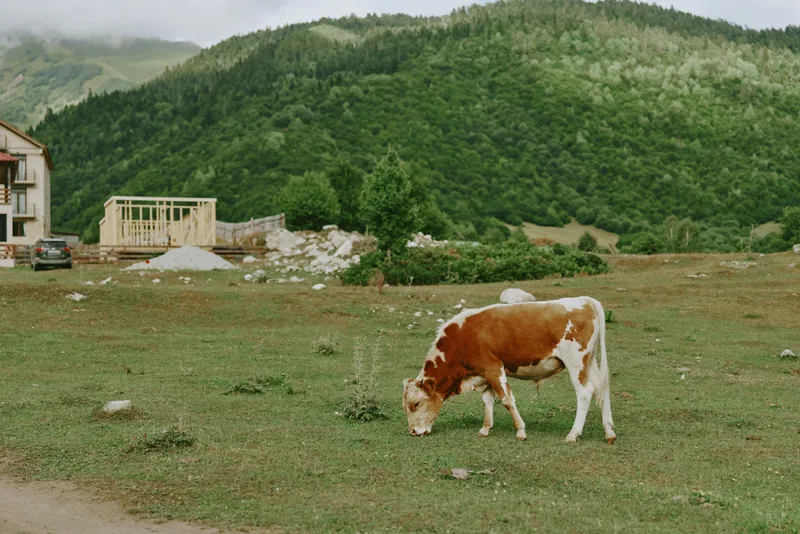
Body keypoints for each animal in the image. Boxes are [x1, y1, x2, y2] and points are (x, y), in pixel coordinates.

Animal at [402, 296, 616, 444]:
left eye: (416, 403)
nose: (412, 431)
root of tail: (584, 300)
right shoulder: (486, 372)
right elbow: (488, 399)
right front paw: (485, 428)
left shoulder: (493, 367)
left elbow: (506, 399)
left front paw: (520, 431)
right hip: (590, 361)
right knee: (602, 388)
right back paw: (609, 432)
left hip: (576, 361)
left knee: (585, 393)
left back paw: (573, 434)